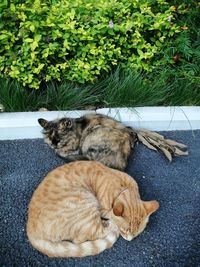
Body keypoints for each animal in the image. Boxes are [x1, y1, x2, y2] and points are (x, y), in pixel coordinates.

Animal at [26, 161, 159, 258]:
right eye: (125, 230)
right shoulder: (103, 209)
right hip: (86, 204)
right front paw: (114, 224)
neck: (124, 186)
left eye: (136, 234)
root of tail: (30, 231)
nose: (129, 239)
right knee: (84, 237)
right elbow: (111, 217)